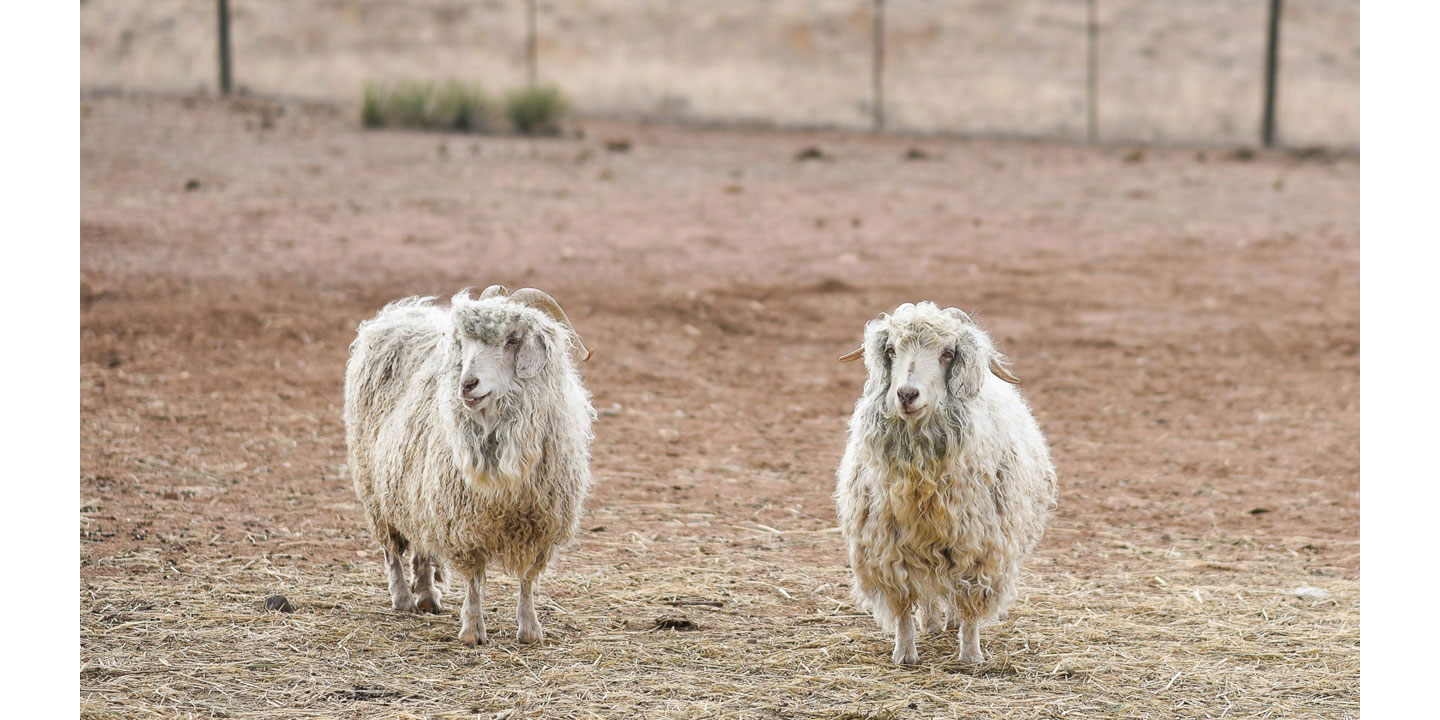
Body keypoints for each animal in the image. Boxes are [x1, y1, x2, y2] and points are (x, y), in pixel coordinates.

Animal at [342, 285, 596, 648]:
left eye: (512, 339)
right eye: (465, 342)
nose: (467, 384)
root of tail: (401, 310)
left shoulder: (541, 522)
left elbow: (528, 578)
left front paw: (529, 628)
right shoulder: (464, 520)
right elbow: (474, 578)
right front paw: (473, 630)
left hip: (418, 488)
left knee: (422, 544)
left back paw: (427, 594)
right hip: (375, 487)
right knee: (391, 549)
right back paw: (403, 597)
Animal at [835, 300, 1059, 665]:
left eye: (947, 353)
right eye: (891, 349)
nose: (907, 394)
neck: (922, 484)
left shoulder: (980, 548)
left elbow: (970, 604)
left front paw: (970, 655)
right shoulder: (888, 550)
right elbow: (902, 604)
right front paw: (904, 654)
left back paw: (950, 624)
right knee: (928, 593)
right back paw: (930, 625)